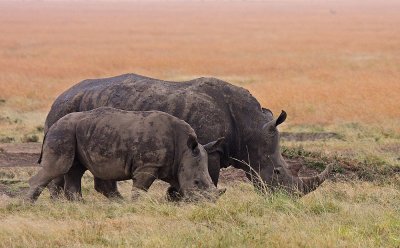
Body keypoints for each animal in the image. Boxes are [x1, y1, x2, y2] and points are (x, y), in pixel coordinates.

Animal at [25, 107, 225, 202]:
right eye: (197, 183)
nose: (207, 204)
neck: (184, 149)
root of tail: (52, 125)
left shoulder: (173, 166)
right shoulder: (147, 166)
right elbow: (140, 189)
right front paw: (135, 206)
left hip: (74, 132)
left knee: (74, 170)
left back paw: (80, 206)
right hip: (63, 132)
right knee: (58, 167)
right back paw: (26, 205)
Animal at [43, 72, 332, 197]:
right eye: (278, 173)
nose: (286, 199)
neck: (250, 128)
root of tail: (58, 97)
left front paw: (175, 198)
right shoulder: (210, 148)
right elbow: (209, 177)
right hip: (65, 112)